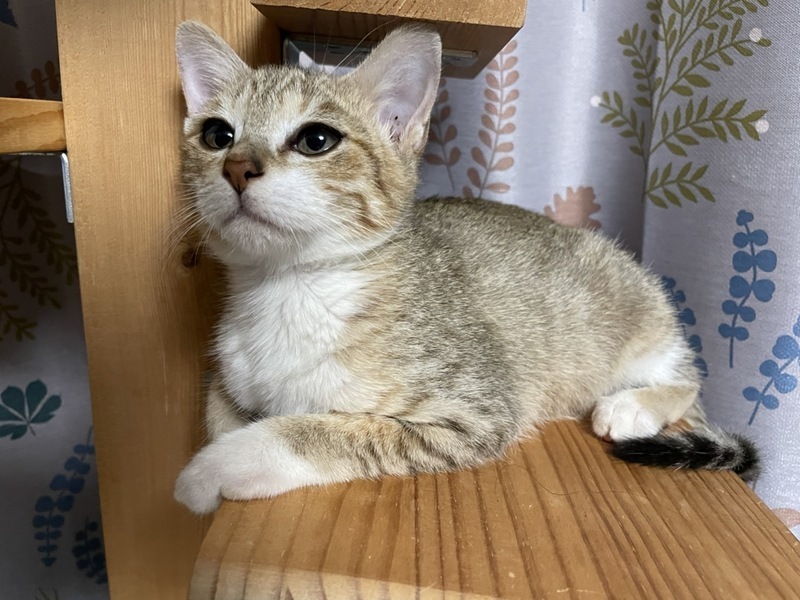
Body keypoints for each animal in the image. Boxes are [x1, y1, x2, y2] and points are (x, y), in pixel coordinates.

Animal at [173, 21, 758, 514]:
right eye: (217, 135)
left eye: (317, 139)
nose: (237, 167)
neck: (288, 285)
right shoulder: (229, 372)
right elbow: (217, 407)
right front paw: (221, 446)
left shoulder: (477, 410)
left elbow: (321, 430)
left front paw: (219, 466)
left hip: (644, 312)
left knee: (688, 380)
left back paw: (632, 405)